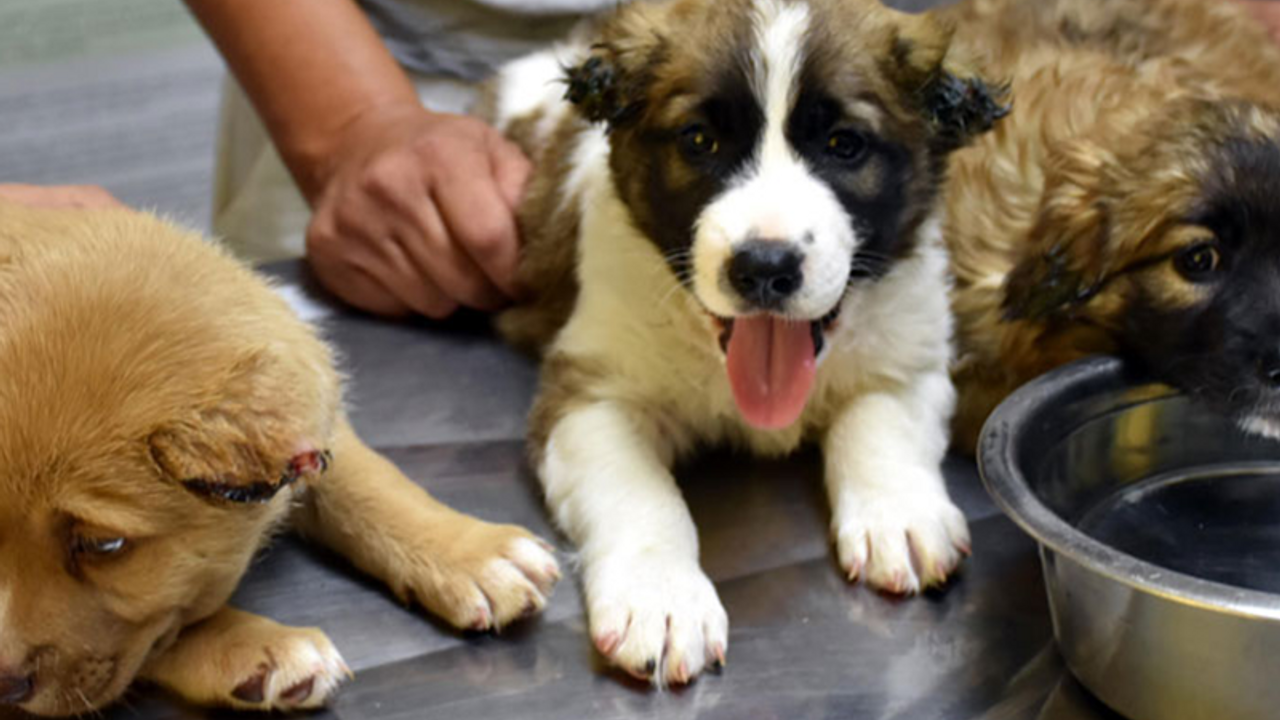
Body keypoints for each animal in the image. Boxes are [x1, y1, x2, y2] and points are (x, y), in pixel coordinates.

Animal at [0, 199, 560, 712]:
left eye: (105, 546)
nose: (5, 689)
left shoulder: (311, 426)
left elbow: (369, 484)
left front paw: (472, 554)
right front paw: (256, 649)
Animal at [483, 0, 1003, 681]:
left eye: (844, 145)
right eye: (700, 141)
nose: (764, 266)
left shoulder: (911, 355)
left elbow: (880, 424)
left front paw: (901, 516)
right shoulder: (590, 394)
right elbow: (638, 492)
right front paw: (661, 598)